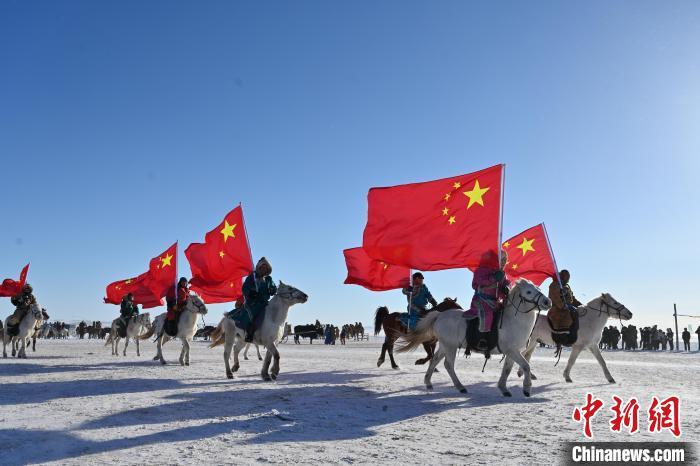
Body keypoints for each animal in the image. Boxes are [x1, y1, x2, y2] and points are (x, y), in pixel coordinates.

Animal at [400, 280, 552, 396]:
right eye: (528, 292)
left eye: (538, 288)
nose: (547, 302)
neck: (513, 321)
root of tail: (439, 315)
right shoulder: (512, 351)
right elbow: (526, 366)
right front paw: (526, 388)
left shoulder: (512, 352)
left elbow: (507, 370)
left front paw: (503, 389)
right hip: (450, 347)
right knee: (448, 365)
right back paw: (460, 387)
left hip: (444, 345)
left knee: (434, 360)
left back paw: (428, 383)